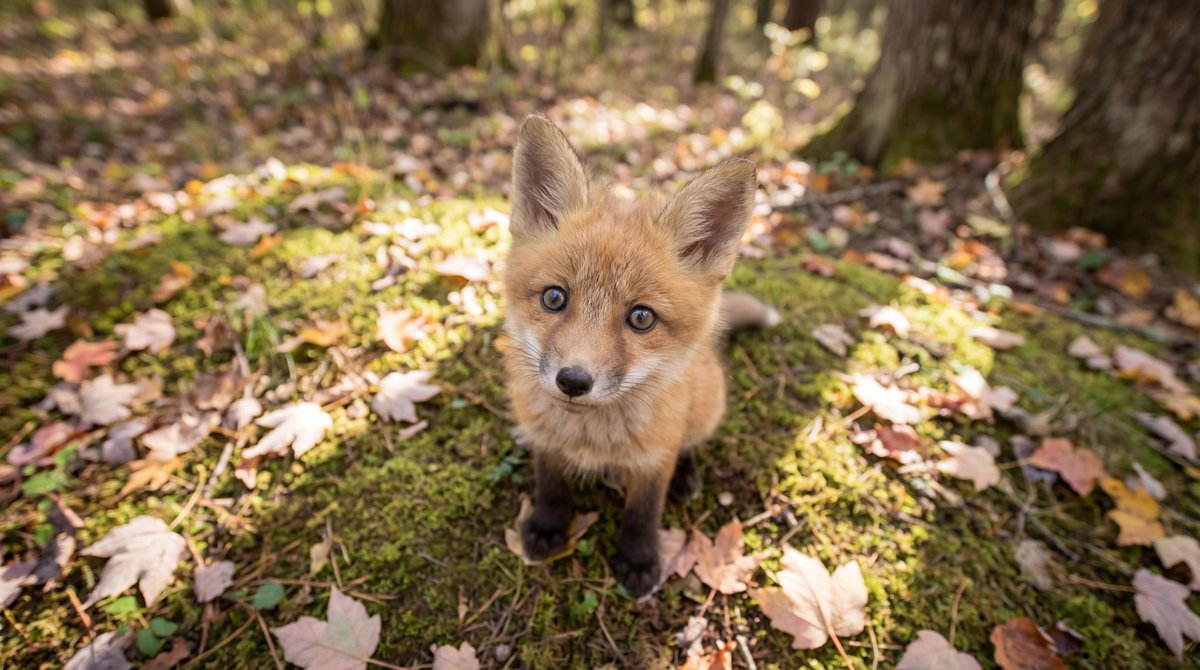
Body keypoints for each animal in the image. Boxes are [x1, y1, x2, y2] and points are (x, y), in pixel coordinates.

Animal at [502, 114, 779, 597]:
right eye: (554, 297)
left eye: (641, 317)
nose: (573, 381)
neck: (592, 438)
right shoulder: (549, 443)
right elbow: (551, 484)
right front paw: (548, 527)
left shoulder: (654, 457)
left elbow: (643, 511)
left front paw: (639, 560)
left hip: (705, 409)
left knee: (690, 443)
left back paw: (687, 476)